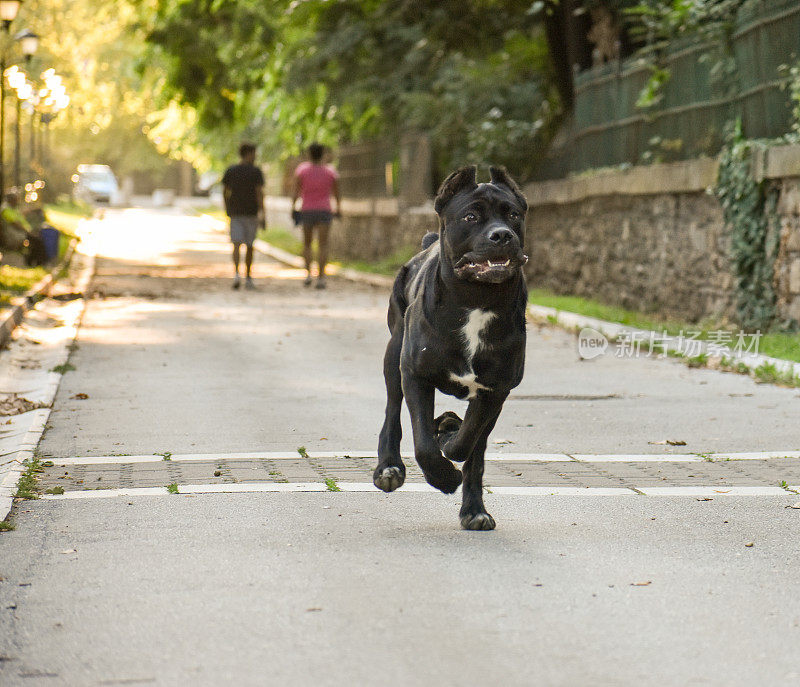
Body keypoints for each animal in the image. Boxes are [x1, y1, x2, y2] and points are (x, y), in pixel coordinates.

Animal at [374, 167, 528, 532]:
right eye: (471, 216)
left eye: (513, 215)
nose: (502, 235)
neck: (478, 300)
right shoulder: (415, 374)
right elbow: (424, 446)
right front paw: (444, 478)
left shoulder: (496, 389)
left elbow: (468, 442)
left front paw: (449, 432)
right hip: (394, 352)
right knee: (392, 412)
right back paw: (389, 468)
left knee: (475, 449)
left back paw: (474, 509)